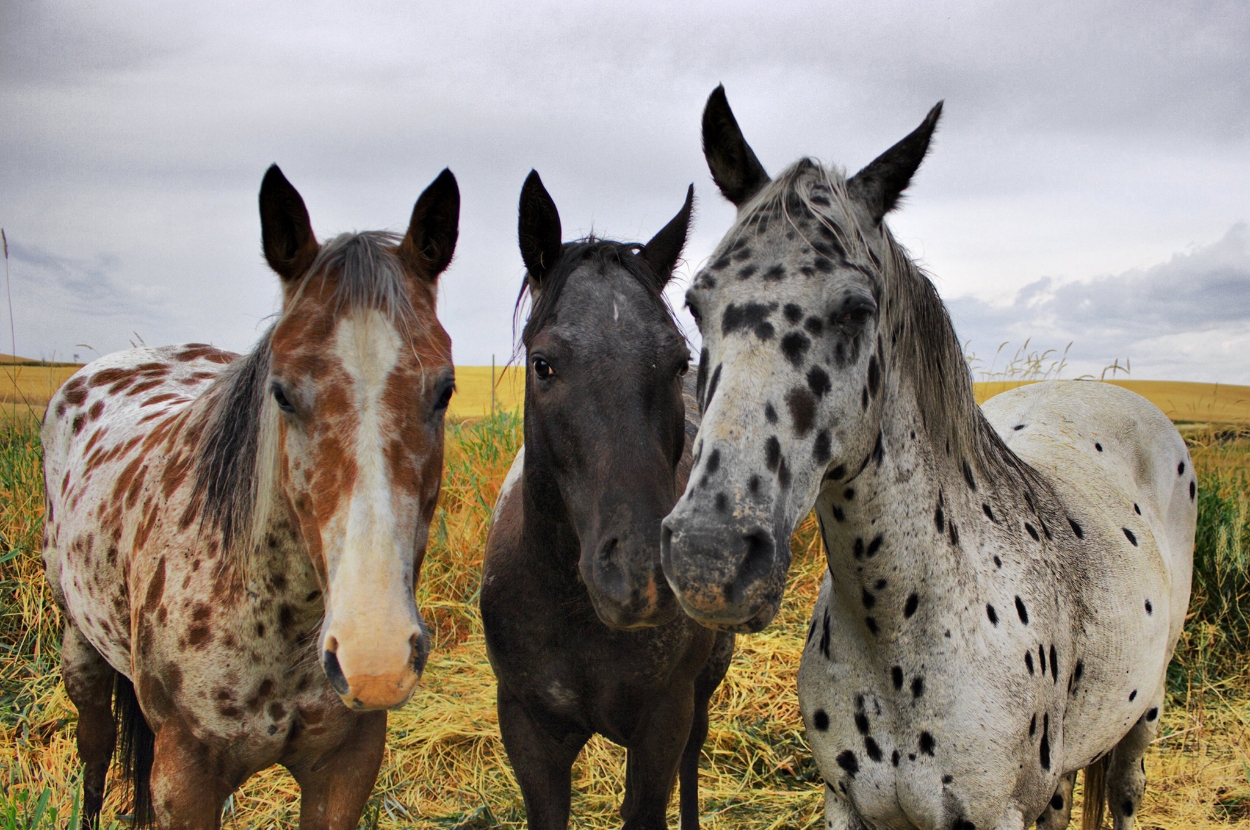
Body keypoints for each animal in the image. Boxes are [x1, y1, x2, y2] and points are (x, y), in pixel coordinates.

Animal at [42, 164, 461, 829]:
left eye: (444, 390)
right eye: (281, 393)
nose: (374, 658)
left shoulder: (347, 767)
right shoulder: (183, 780)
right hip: (78, 641)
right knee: (96, 743)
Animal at [481, 170, 734, 830]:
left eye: (678, 361)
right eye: (543, 364)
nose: (638, 576)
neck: (571, 609)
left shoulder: (663, 723)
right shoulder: (528, 732)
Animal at [659, 86, 1195, 830]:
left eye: (856, 309)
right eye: (696, 303)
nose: (709, 561)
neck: (903, 628)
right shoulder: (848, 805)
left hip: (1142, 720)